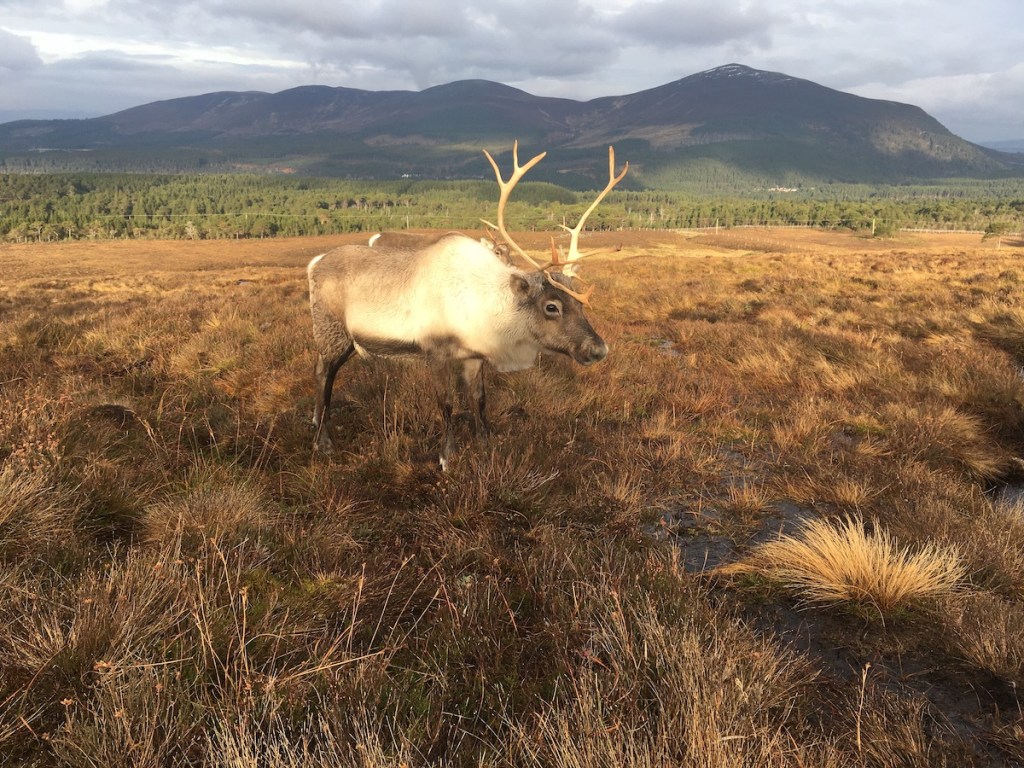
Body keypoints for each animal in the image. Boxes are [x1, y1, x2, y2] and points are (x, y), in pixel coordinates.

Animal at [307, 142, 628, 469]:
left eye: (581, 303)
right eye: (552, 306)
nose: (599, 349)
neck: (486, 312)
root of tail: (313, 264)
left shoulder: (474, 356)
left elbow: (479, 400)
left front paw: (486, 444)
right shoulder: (434, 351)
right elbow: (446, 403)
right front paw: (447, 456)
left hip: (347, 340)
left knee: (322, 370)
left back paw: (317, 421)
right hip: (331, 331)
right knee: (324, 375)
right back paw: (323, 441)